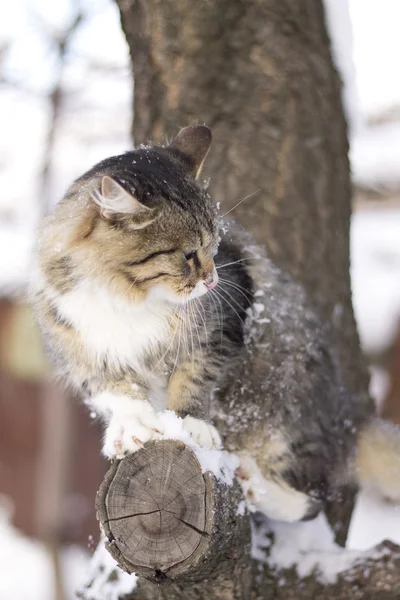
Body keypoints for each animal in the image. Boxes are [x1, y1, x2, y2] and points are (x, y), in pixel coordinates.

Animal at [30, 123, 400, 520]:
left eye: (215, 247)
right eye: (189, 255)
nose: (212, 280)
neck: (127, 297)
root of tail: (348, 416)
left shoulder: (224, 322)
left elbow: (193, 377)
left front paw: (189, 424)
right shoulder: (78, 353)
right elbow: (117, 390)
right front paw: (132, 429)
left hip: (285, 413)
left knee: (314, 498)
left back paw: (254, 484)